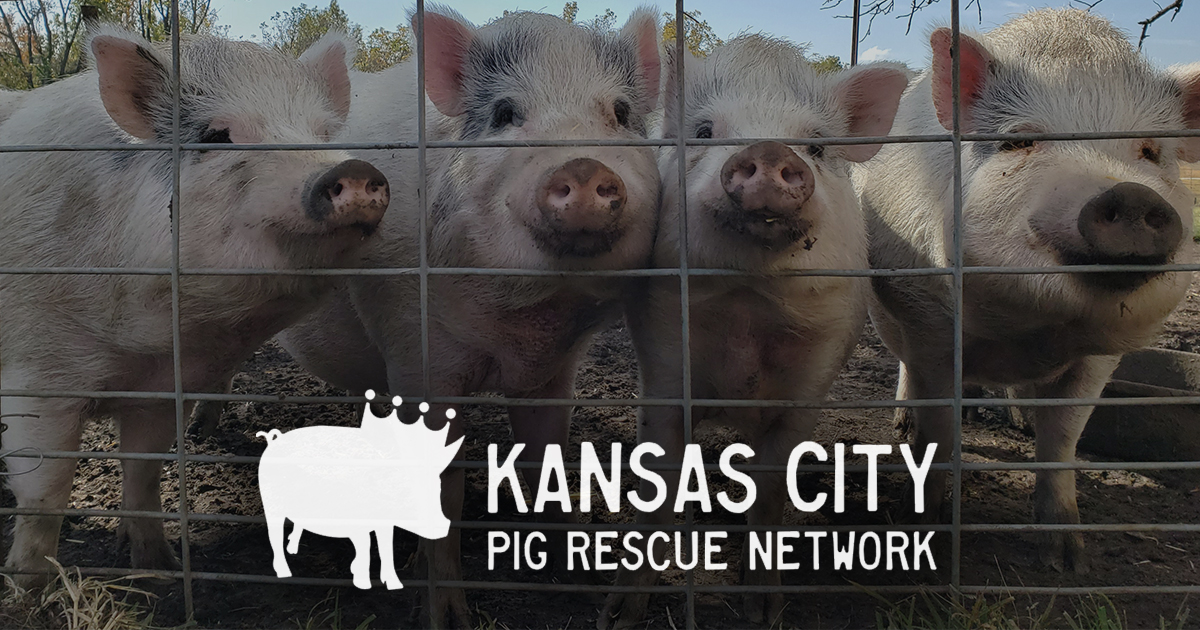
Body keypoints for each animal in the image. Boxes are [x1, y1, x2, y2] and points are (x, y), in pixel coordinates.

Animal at [0, 26, 389, 587]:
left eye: (322, 136)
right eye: (216, 135)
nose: (354, 168)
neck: (141, 339)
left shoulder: (161, 388)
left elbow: (143, 474)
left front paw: (158, 571)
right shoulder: (35, 376)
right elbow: (45, 495)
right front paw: (30, 587)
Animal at [598, 36, 909, 629]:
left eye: (816, 145)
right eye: (703, 132)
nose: (768, 151)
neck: (748, 301)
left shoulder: (812, 378)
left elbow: (769, 492)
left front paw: (764, 611)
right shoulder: (662, 362)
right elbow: (659, 485)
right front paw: (619, 614)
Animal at [858, 8, 1200, 572]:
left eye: (1150, 151)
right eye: (1020, 140)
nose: (1130, 194)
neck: (1028, 330)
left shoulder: (1100, 356)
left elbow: (1063, 435)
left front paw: (1067, 560)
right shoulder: (928, 320)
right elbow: (940, 427)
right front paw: (923, 526)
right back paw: (904, 427)